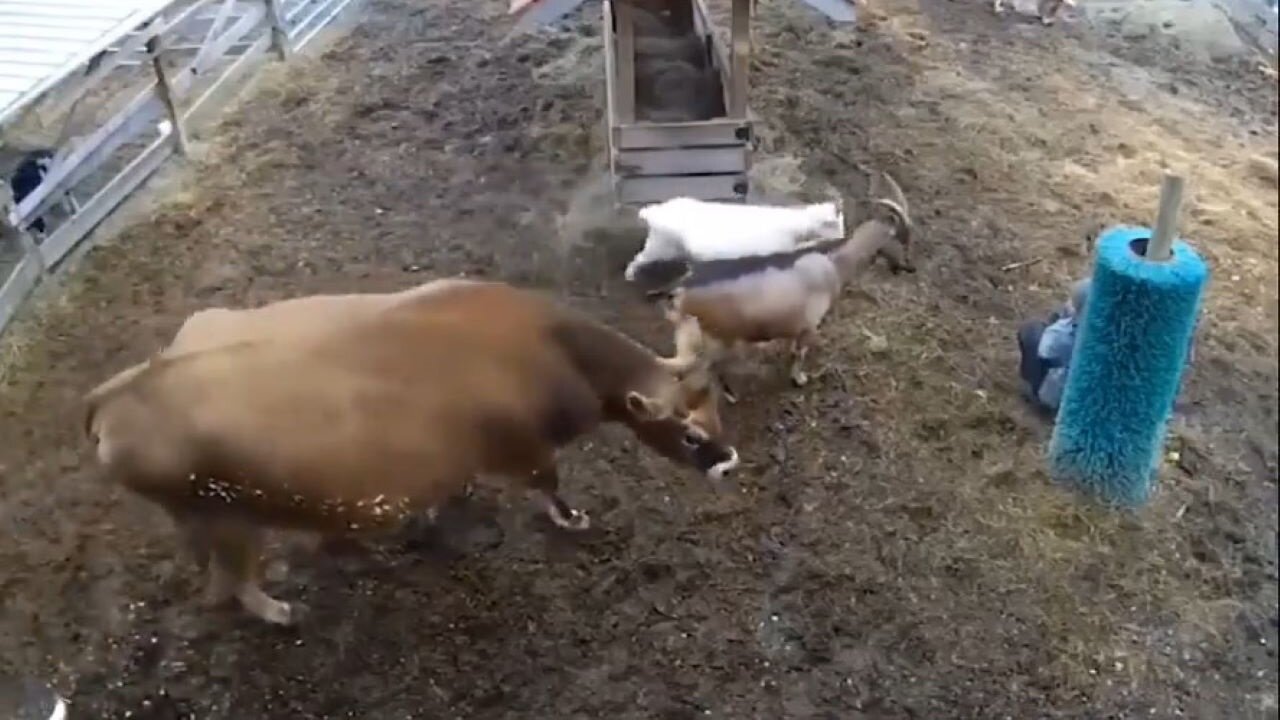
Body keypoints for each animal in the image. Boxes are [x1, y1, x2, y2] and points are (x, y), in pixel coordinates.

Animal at [85, 279, 737, 622]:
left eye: (717, 409)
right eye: (690, 434)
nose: (729, 463)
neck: (547, 351)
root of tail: (117, 395)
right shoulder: (524, 451)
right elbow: (549, 486)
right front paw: (571, 518)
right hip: (227, 518)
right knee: (235, 581)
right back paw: (278, 610)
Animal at [660, 172, 911, 397]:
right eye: (901, 239)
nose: (908, 268)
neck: (833, 264)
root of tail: (681, 292)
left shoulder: (795, 324)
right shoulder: (810, 325)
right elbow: (801, 353)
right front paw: (799, 379)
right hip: (713, 338)